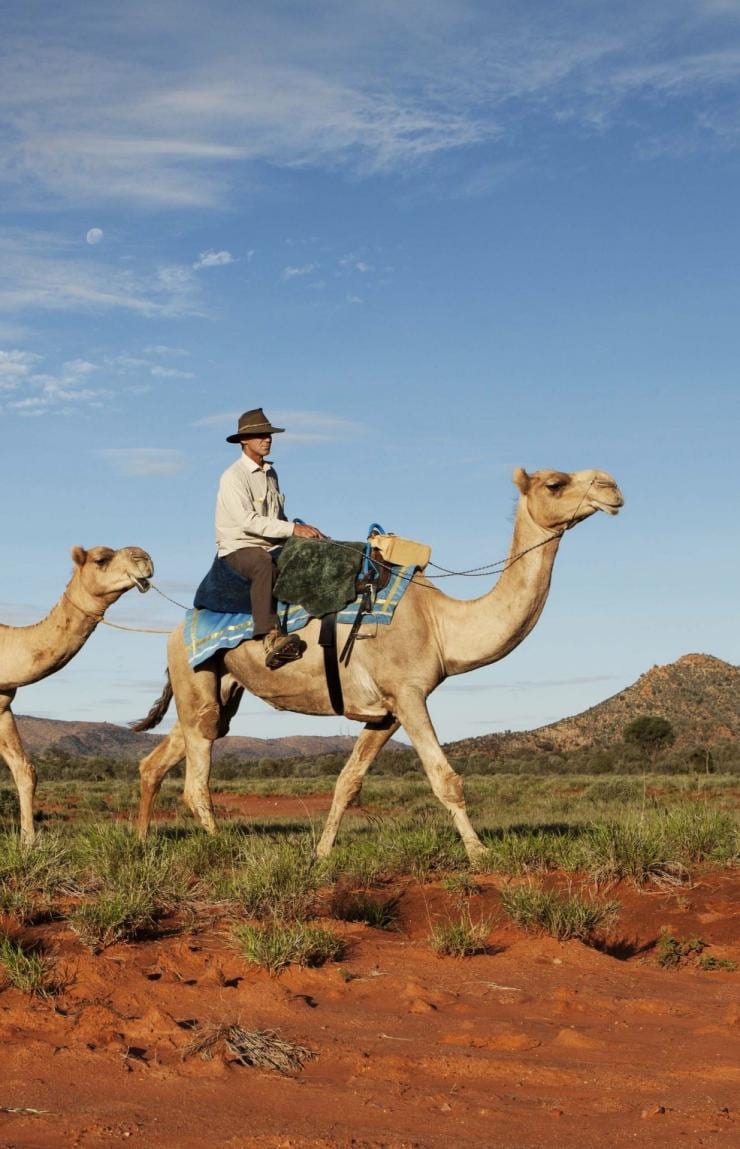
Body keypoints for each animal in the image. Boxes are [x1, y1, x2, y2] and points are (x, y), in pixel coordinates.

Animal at [135, 468, 622, 859]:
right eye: (555, 483)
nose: (611, 486)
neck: (440, 624)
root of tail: (175, 631)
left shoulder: (384, 713)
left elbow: (347, 782)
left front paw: (322, 852)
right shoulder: (409, 694)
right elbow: (445, 779)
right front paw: (480, 853)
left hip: (219, 686)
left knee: (161, 758)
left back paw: (141, 841)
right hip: (196, 674)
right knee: (196, 781)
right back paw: (228, 848)